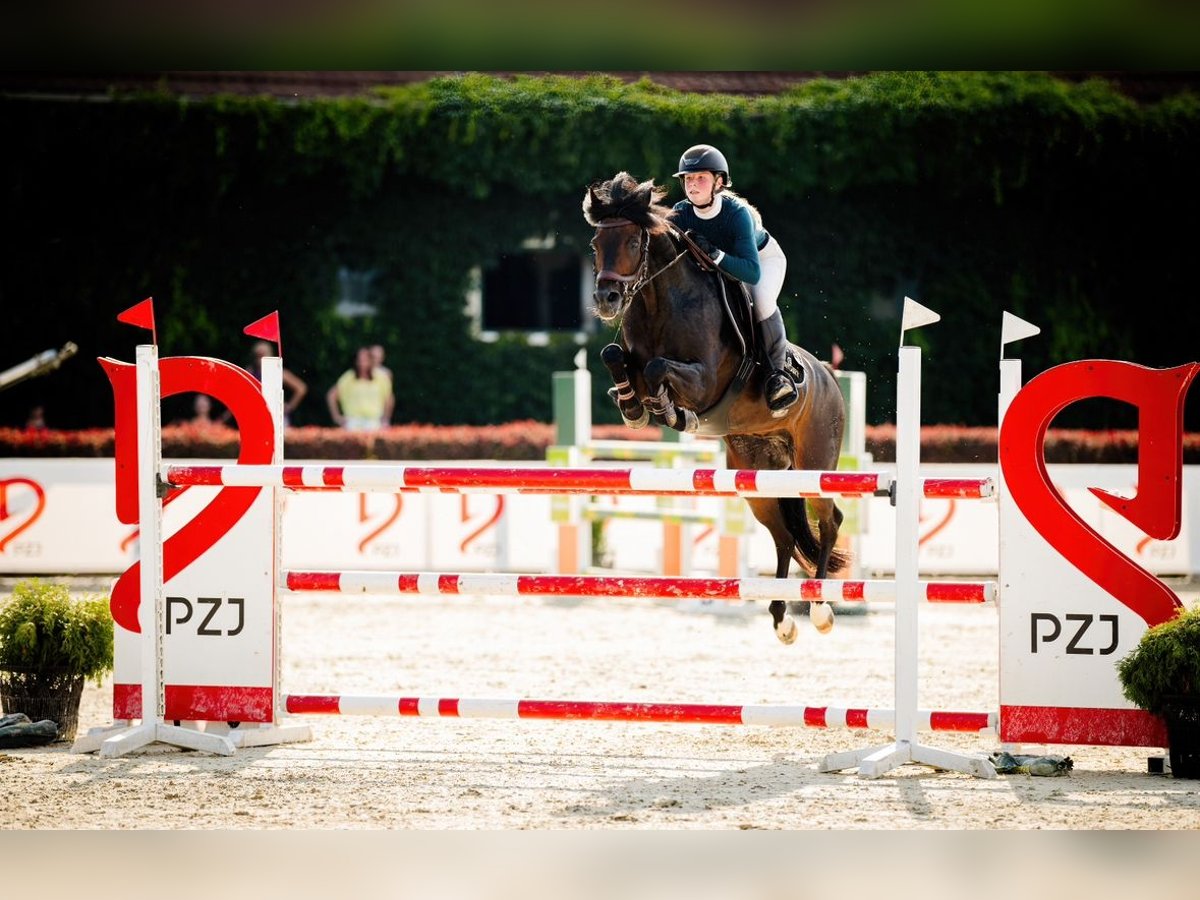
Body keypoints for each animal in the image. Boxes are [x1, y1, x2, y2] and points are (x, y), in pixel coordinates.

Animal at [583, 172, 849, 643]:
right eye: (596, 243)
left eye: (633, 241)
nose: (606, 299)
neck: (659, 301)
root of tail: (831, 379)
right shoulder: (629, 356)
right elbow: (615, 356)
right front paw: (634, 407)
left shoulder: (706, 380)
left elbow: (657, 368)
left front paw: (671, 411)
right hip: (756, 474)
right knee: (783, 535)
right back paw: (781, 618)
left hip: (814, 463)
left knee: (830, 519)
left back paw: (819, 609)